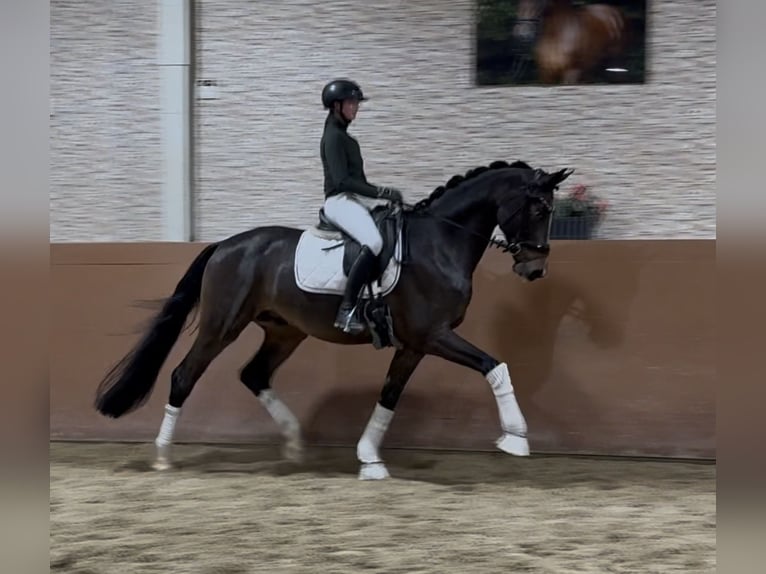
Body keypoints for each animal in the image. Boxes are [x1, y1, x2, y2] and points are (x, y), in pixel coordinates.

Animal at [93, 159, 574, 480]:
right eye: (538, 209)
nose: (535, 269)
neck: (441, 242)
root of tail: (225, 245)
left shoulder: (414, 344)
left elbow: (389, 395)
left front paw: (369, 458)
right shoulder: (433, 335)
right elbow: (495, 366)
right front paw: (516, 437)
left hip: (285, 331)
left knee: (254, 374)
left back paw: (294, 444)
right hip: (221, 326)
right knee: (183, 376)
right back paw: (162, 456)